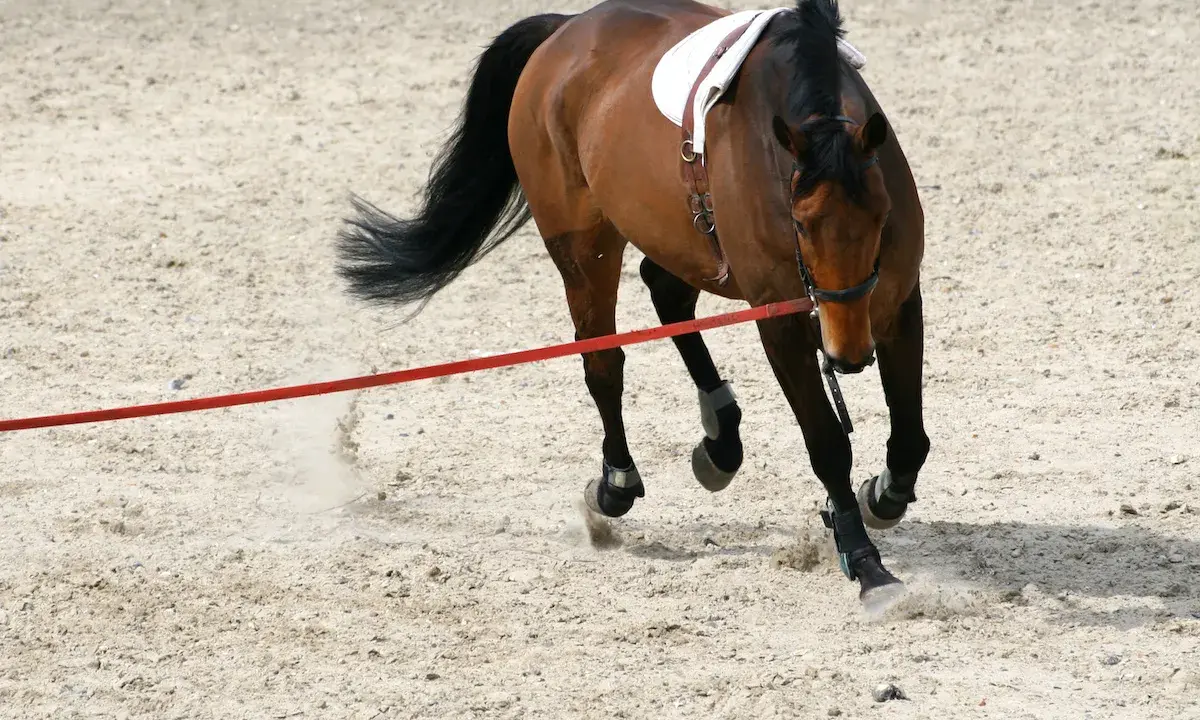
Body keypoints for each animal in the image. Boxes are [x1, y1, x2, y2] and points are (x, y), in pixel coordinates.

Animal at [334, 0, 930, 609]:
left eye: (881, 216)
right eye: (802, 224)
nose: (848, 354)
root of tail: (567, 27)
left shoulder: (899, 304)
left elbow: (911, 436)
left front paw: (882, 494)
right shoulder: (781, 326)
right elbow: (828, 444)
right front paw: (866, 563)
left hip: (675, 237)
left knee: (666, 293)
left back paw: (721, 437)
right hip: (583, 247)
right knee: (602, 359)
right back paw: (615, 484)